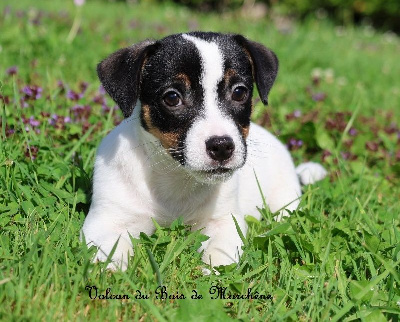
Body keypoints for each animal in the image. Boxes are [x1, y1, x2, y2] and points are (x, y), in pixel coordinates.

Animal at [80, 31, 324, 270]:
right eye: (172, 97)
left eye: (239, 92)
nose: (222, 146)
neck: (174, 177)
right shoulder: (107, 220)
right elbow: (107, 255)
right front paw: (109, 273)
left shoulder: (224, 221)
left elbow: (219, 256)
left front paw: (213, 273)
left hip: (284, 199)